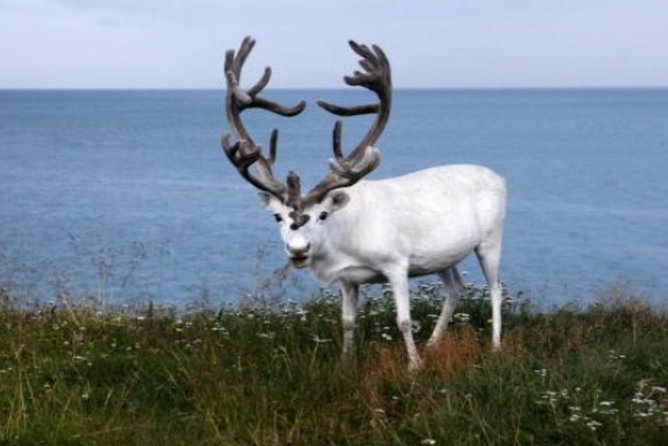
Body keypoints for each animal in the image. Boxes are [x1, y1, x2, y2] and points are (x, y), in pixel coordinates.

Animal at [220, 36, 507, 370]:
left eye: (323, 214)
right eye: (277, 217)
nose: (298, 250)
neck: (345, 243)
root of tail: (501, 178)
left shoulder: (397, 263)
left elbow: (403, 320)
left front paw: (413, 366)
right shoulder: (347, 279)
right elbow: (347, 321)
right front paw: (345, 362)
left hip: (491, 239)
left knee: (495, 288)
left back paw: (495, 346)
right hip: (441, 257)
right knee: (455, 288)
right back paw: (434, 343)